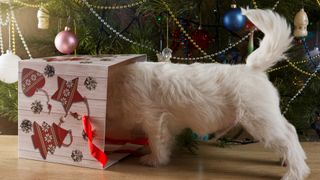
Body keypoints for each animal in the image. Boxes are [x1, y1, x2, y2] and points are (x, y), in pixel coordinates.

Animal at [107, 8, 310, 180]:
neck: (118, 84)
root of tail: (252, 68)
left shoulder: (154, 119)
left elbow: (157, 141)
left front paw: (154, 160)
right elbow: (165, 140)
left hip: (260, 120)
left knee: (287, 139)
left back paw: (295, 172)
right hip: (269, 116)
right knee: (290, 130)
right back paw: (288, 161)